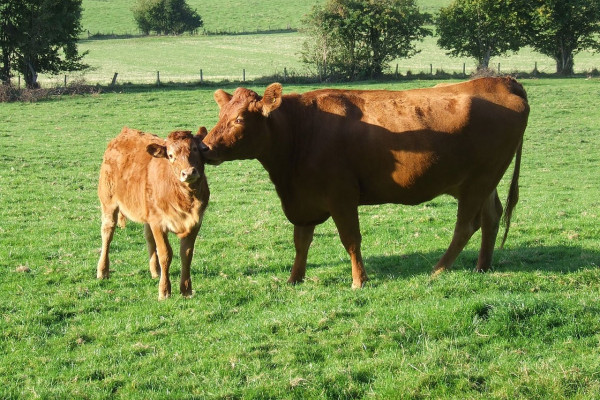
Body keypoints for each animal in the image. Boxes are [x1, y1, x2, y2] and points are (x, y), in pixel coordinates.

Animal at [97, 126, 210, 298]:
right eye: (170, 156)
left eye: (195, 149)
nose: (189, 173)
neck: (186, 198)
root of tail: (124, 132)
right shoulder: (159, 223)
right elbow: (165, 254)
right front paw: (164, 290)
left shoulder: (195, 222)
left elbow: (187, 254)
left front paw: (186, 290)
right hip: (108, 202)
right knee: (107, 233)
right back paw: (103, 270)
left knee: (149, 237)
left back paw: (155, 270)